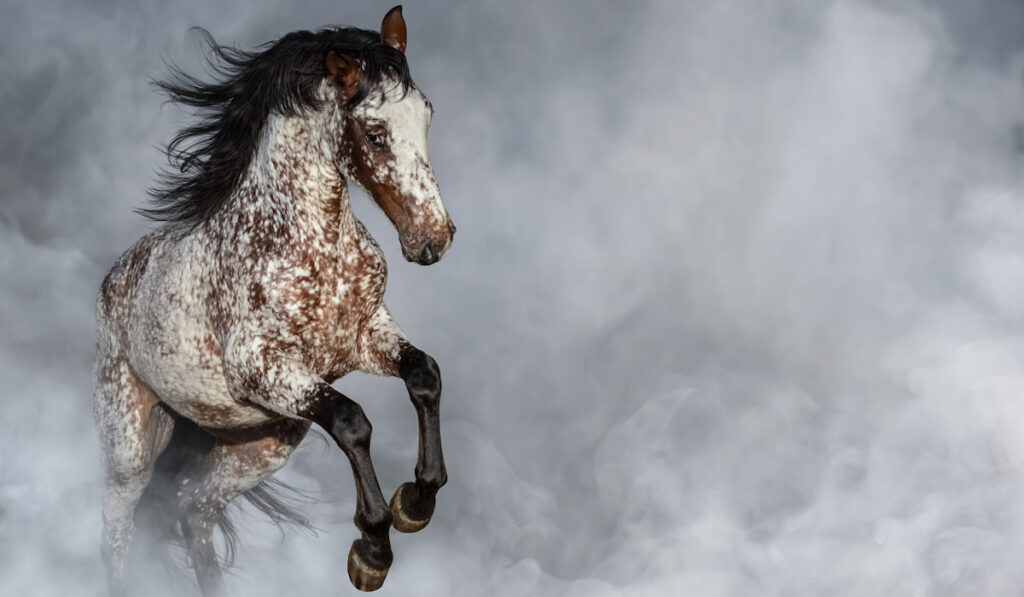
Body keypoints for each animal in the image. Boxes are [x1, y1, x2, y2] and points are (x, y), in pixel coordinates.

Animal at [91, 7, 452, 593]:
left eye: (427, 114)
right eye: (375, 133)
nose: (434, 240)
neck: (310, 245)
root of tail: (115, 278)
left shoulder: (364, 338)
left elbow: (424, 375)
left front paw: (416, 503)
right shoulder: (261, 368)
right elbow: (352, 421)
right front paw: (373, 548)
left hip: (264, 442)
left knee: (192, 510)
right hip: (131, 449)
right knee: (119, 541)